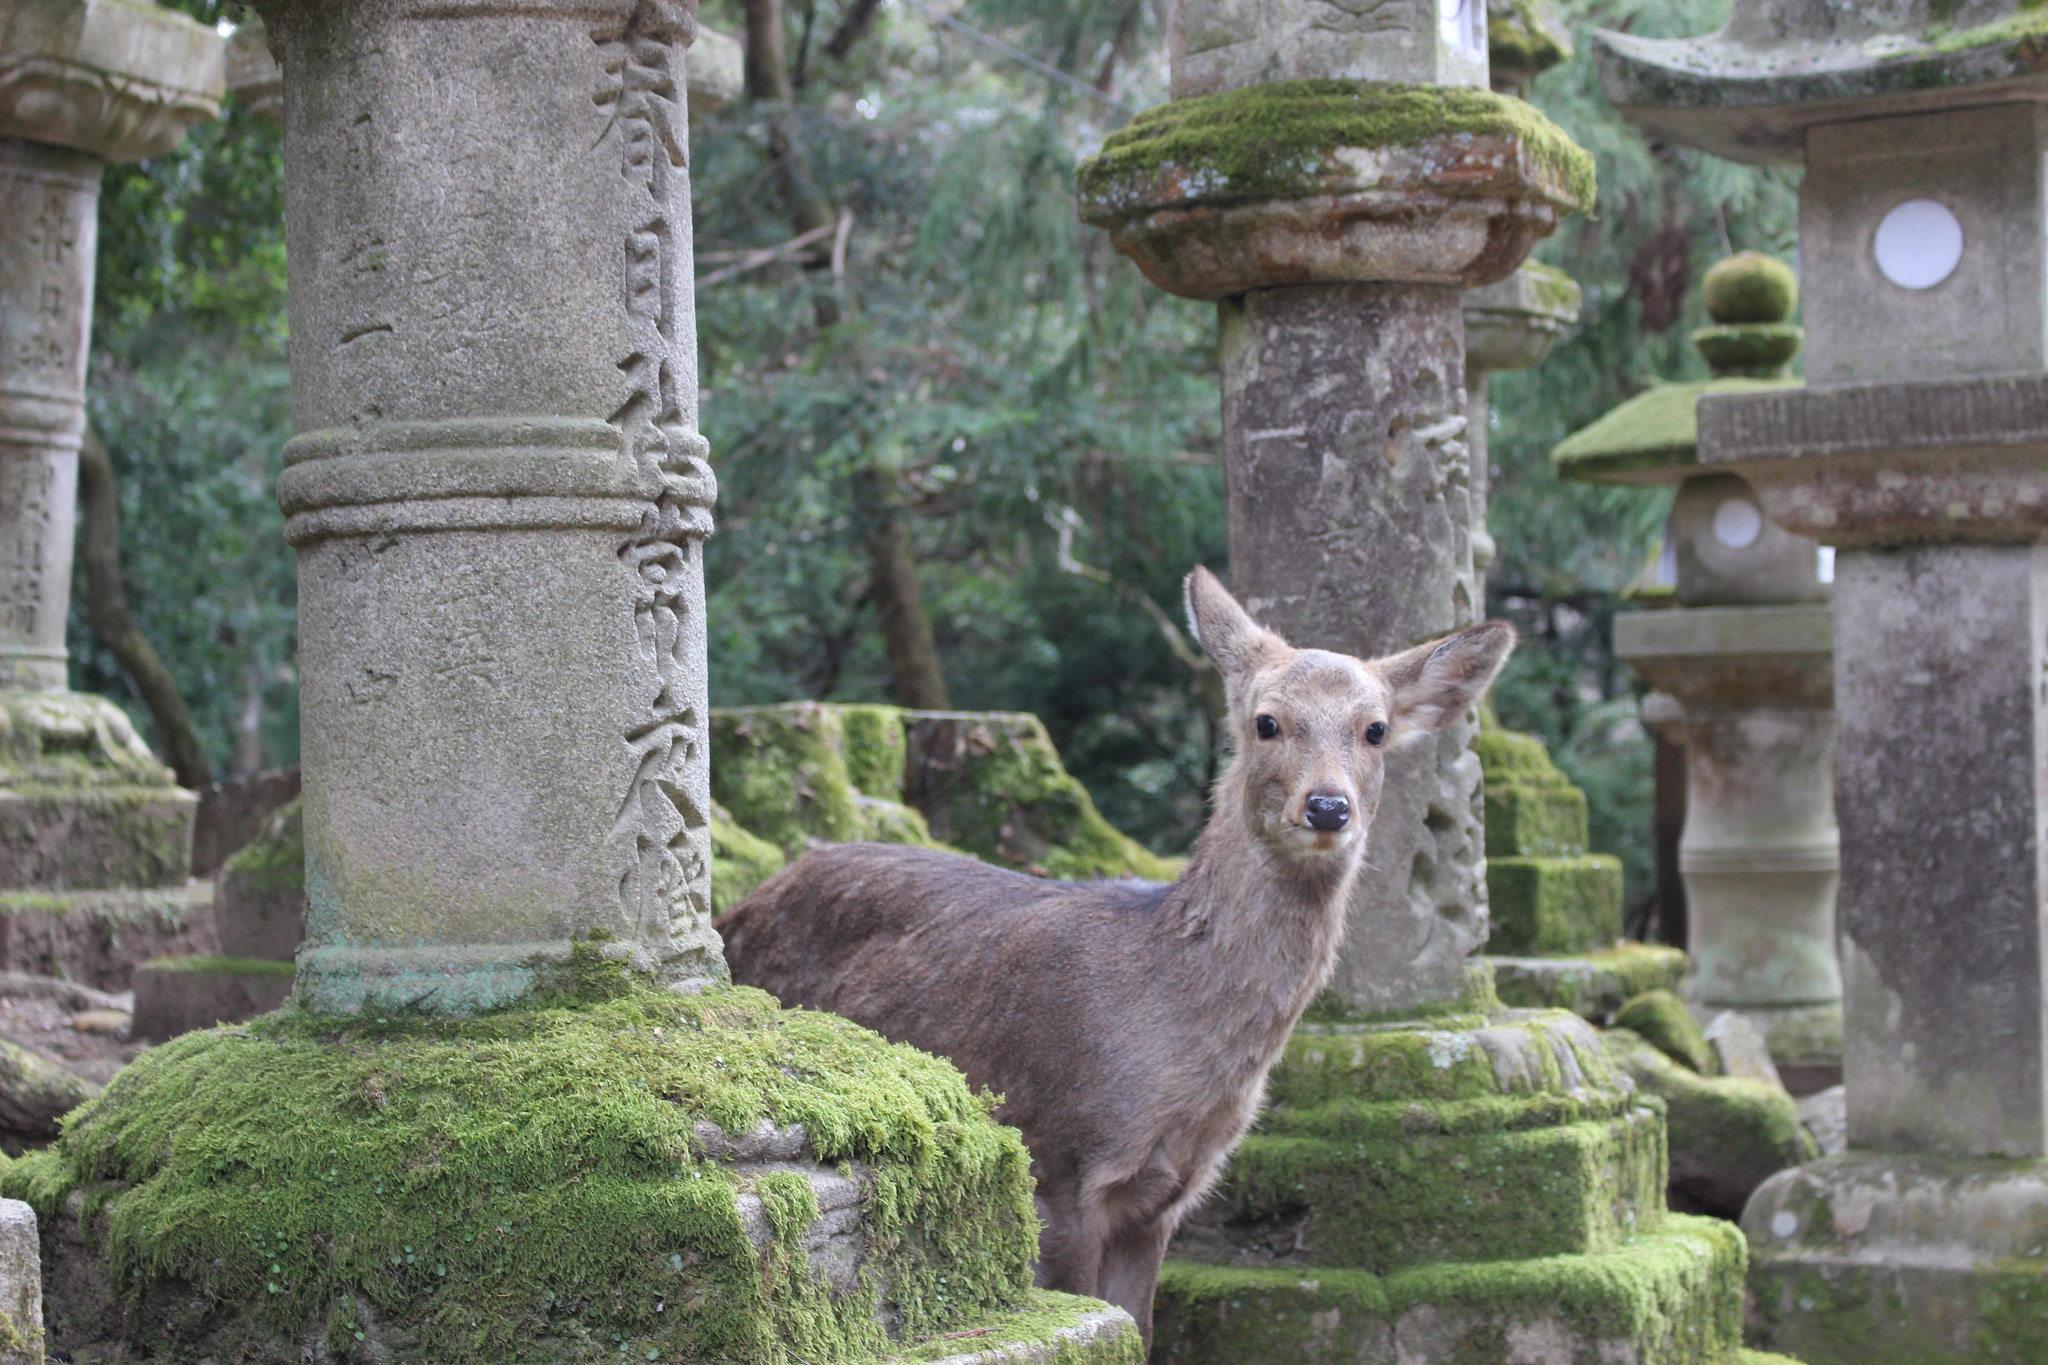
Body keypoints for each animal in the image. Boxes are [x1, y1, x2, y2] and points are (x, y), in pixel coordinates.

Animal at [714, 567, 1514, 1345]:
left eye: (1375, 729)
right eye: (1267, 722)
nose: (1327, 806)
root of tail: (738, 909)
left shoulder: (1165, 1198)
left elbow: (1143, 1327)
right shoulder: (1058, 1161)